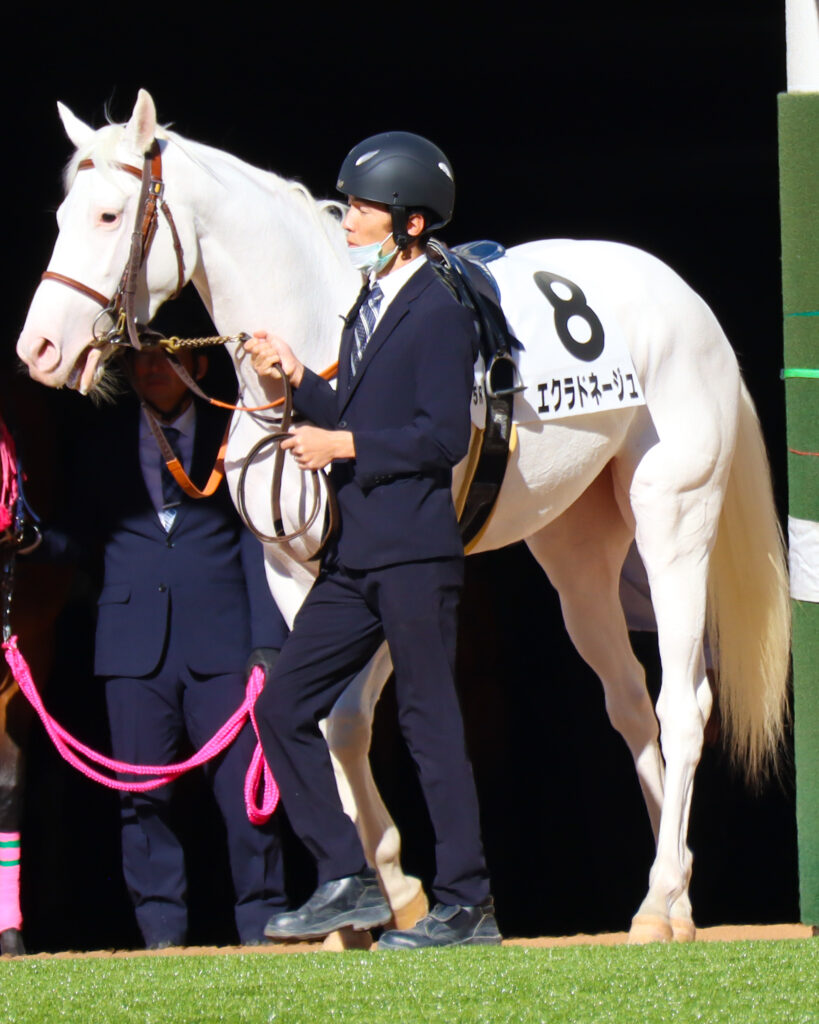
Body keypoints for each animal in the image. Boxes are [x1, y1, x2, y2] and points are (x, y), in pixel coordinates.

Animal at [16, 90, 790, 945]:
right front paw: (372, 894)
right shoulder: (299, 572)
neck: (325, 328)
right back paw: (673, 891)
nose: (38, 350)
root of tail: (685, 302)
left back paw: (656, 903)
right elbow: (329, 720)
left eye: (110, 215)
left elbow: (355, 713)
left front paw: (396, 890)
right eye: (61, 213)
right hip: (576, 553)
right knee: (626, 702)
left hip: (672, 519)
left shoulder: (394, 562)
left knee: (681, 705)